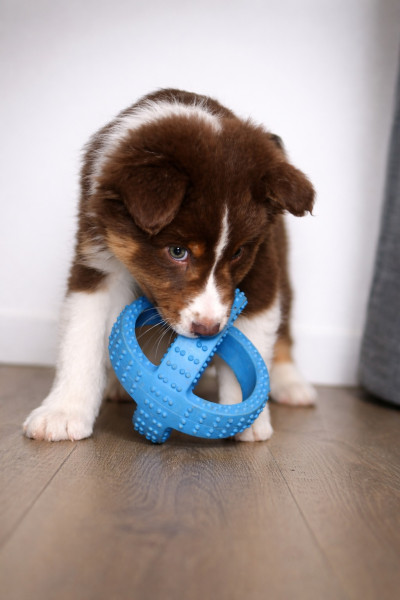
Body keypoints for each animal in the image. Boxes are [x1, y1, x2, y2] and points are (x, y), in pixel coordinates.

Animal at [23, 88, 316, 443]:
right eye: (178, 251)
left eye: (238, 253)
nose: (207, 330)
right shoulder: (97, 260)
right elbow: (81, 338)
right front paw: (62, 413)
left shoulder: (260, 267)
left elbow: (252, 340)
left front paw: (249, 422)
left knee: (283, 329)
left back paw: (292, 383)